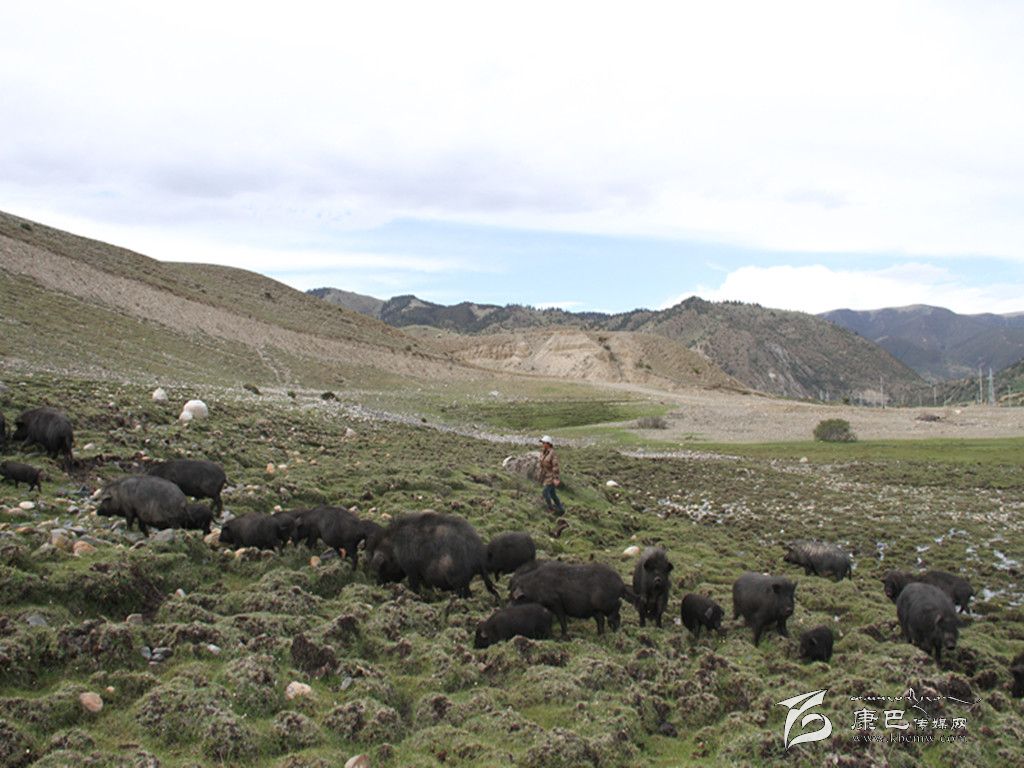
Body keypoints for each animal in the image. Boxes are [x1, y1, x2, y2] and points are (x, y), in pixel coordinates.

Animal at [364, 512, 499, 602]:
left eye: (382, 567)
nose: (378, 584)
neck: (394, 547)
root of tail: (479, 556)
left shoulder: (411, 569)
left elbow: (414, 585)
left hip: (459, 581)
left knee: (467, 594)